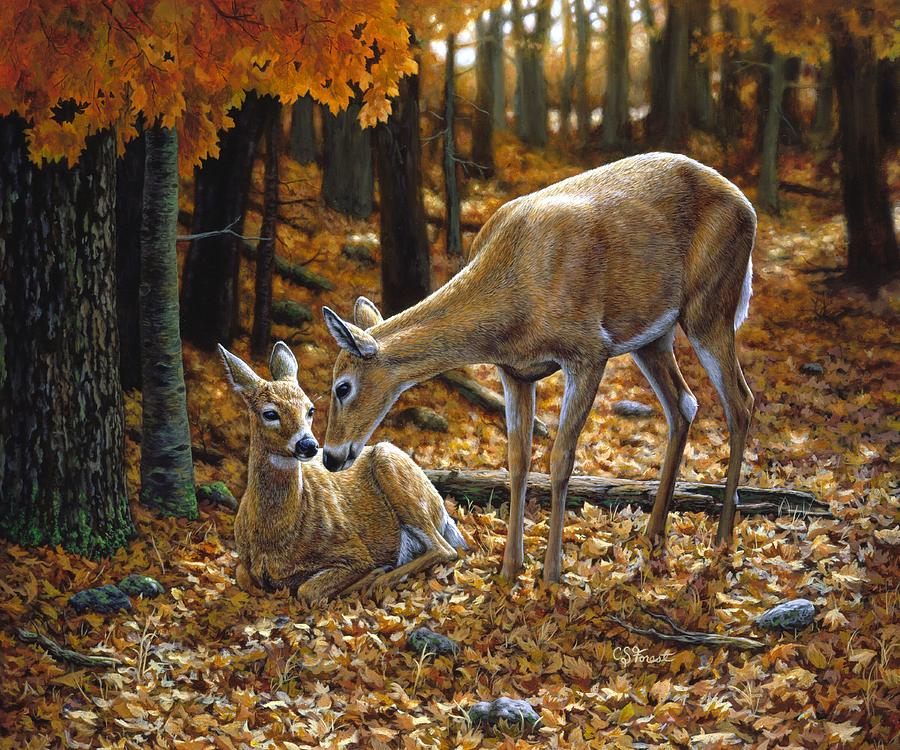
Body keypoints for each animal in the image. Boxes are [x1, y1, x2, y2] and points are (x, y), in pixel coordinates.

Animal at [218, 341, 467, 603]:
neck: (274, 538)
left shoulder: (355, 550)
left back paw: (382, 577)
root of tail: (441, 511)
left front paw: (374, 573)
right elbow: (243, 577)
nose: (309, 445)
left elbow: (307, 590)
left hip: (391, 463)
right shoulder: (246, 563)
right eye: (270, 413)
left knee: (446, 549)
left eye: (310, 409)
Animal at [319, 153, 757, 585]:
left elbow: (561, 458)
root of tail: (747, 207)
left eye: (342, 387)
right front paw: (510, 569)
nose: (330, 457)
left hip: (710, 304)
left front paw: (551, 574)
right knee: (683, 404)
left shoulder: (589, 350)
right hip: (653, 335)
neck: (512, 304)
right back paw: (653, 535)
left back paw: (722, 541)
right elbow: (518, 459)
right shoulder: (514, 372)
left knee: (741, 402)